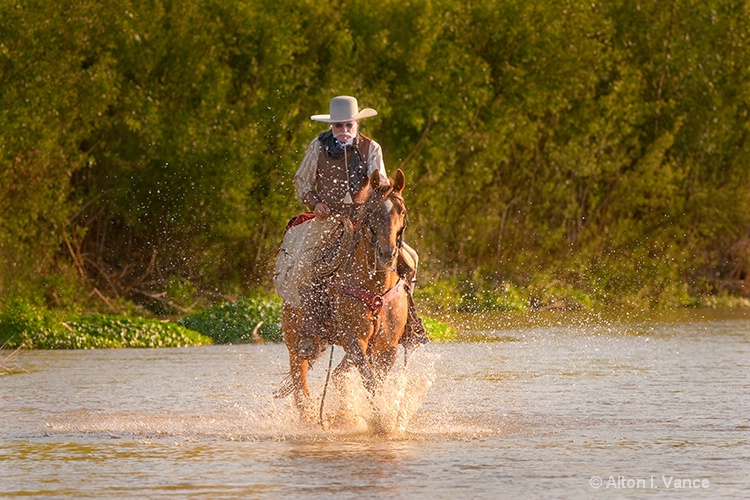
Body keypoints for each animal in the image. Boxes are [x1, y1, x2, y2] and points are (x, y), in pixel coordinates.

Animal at [276, 168, 412, 414]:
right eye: (372, 211)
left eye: (402, 211)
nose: (386, 253)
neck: (376, 289)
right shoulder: (354, 338)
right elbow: (369, 378)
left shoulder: (388, 346)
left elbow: (372, 378)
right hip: (295, 344)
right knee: (301, 389)